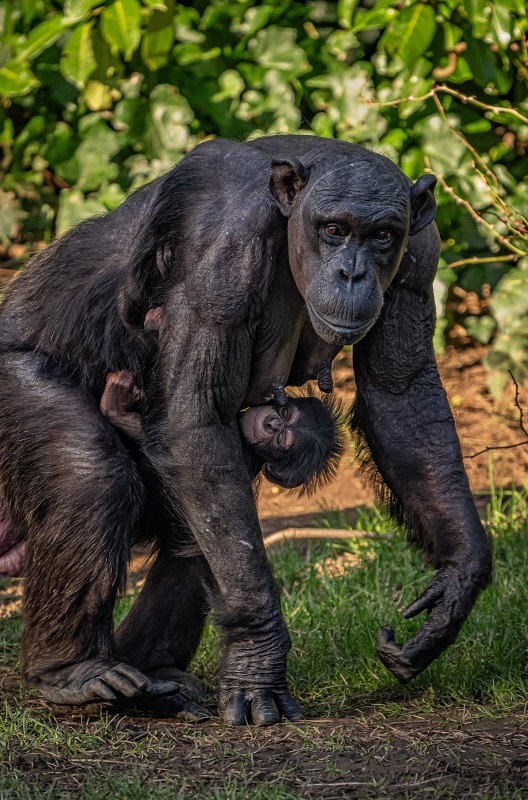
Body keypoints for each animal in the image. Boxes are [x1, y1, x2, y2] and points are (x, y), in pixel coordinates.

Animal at [0, 372, 344, 580]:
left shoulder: (241, 450)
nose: (273, 424)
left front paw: (116, 406)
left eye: (283, 440)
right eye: (285, 416)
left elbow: (177, 446)